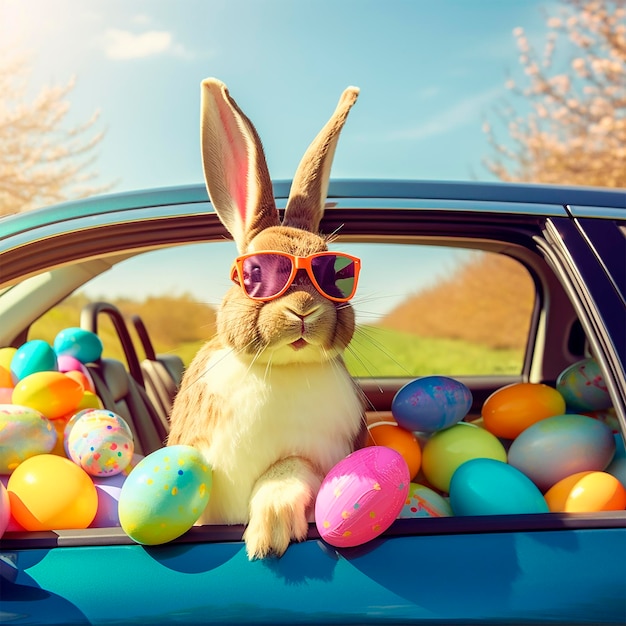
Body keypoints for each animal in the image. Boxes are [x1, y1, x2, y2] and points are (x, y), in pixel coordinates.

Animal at [168, 75, 366, 560]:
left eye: (335, 273)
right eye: (254, 272)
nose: (304, 310)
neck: (280, 369)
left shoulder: (320, 457)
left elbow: (287, 472)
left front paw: (269, 536)